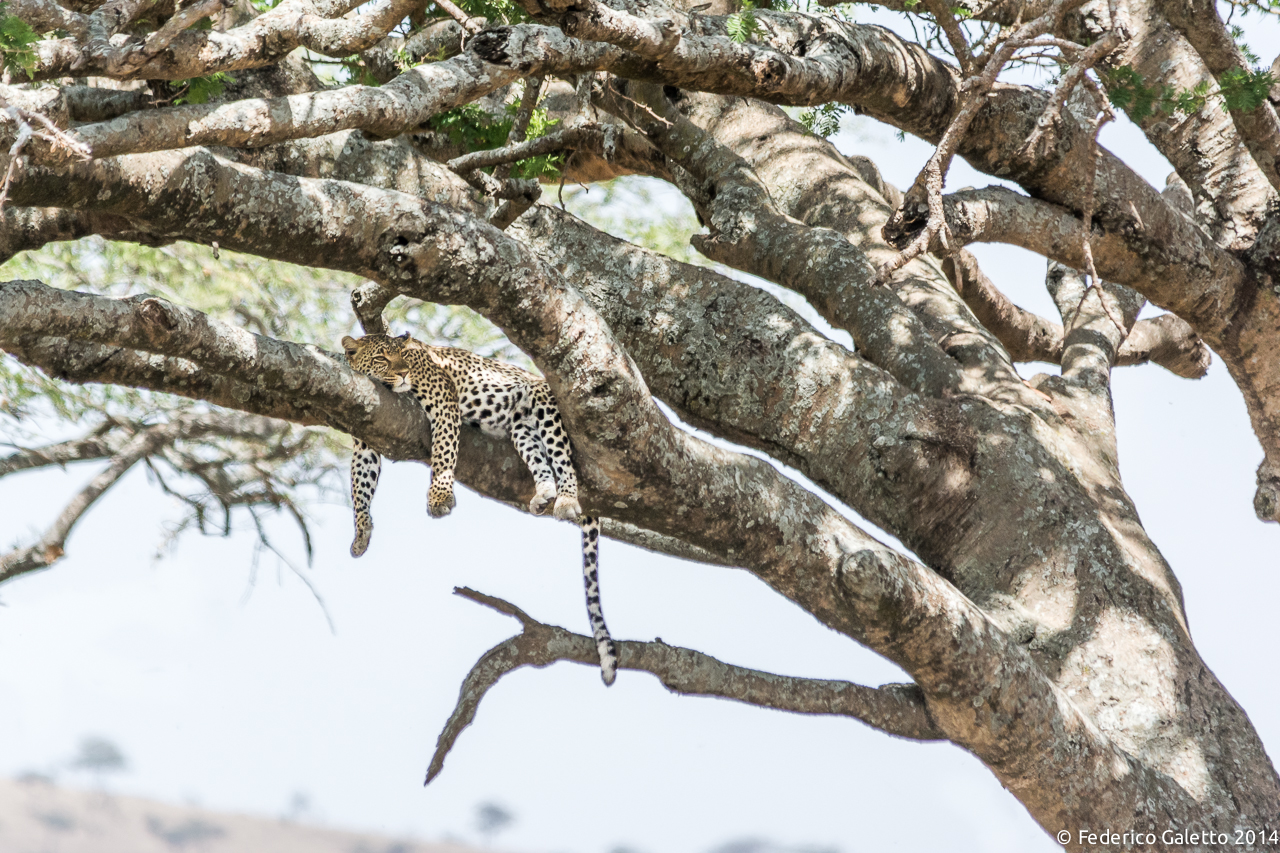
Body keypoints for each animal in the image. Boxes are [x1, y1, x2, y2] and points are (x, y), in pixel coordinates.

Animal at [342, 332, 618, 685]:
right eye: (381, 359)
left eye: (403, 354)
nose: (403, 374)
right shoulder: (366, 432)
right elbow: (360, 483)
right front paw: (361, 531)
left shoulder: (443, 398)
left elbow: (444, 449)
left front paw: (439, 496)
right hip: (521, 426)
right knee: (540, 458)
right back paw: (544, 494)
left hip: (543, 401)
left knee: (563, 458)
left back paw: (567, 498)